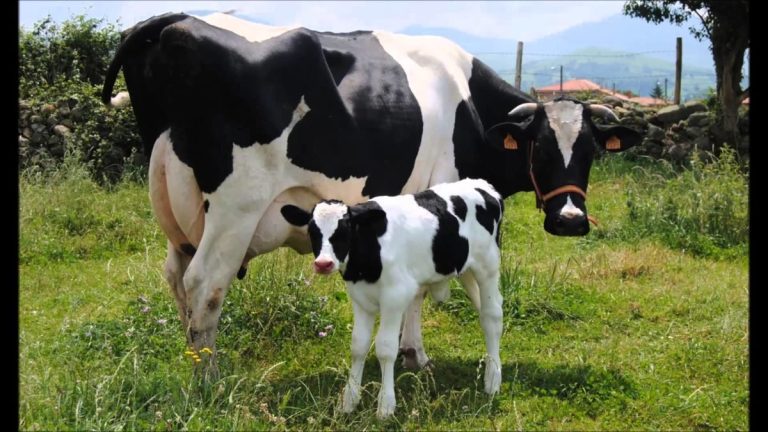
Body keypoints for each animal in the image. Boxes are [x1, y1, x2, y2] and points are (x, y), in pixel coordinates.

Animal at [101, 11, 642, 375]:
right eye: (541, 148)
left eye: (591, 150)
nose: (570, 220)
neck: (471, 108)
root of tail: (177, 21)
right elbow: (424, 287)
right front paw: (416, 355)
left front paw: (408, 351)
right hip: (237, 205)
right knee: (204, 283)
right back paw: (208, 378)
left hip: (178, 212)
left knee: (176, 277)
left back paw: (191, 359)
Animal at [280, 178, 505, 418]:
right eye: (312, 231)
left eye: (345, 229)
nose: (323, 263)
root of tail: (482, 184)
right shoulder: (360, 298)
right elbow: (358, 345)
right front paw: (349, 400)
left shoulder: (395, 297)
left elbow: (386, 348)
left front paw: (386, 405)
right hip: (466, 270)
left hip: (487, 266)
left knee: (492, 317)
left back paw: (493, 380)